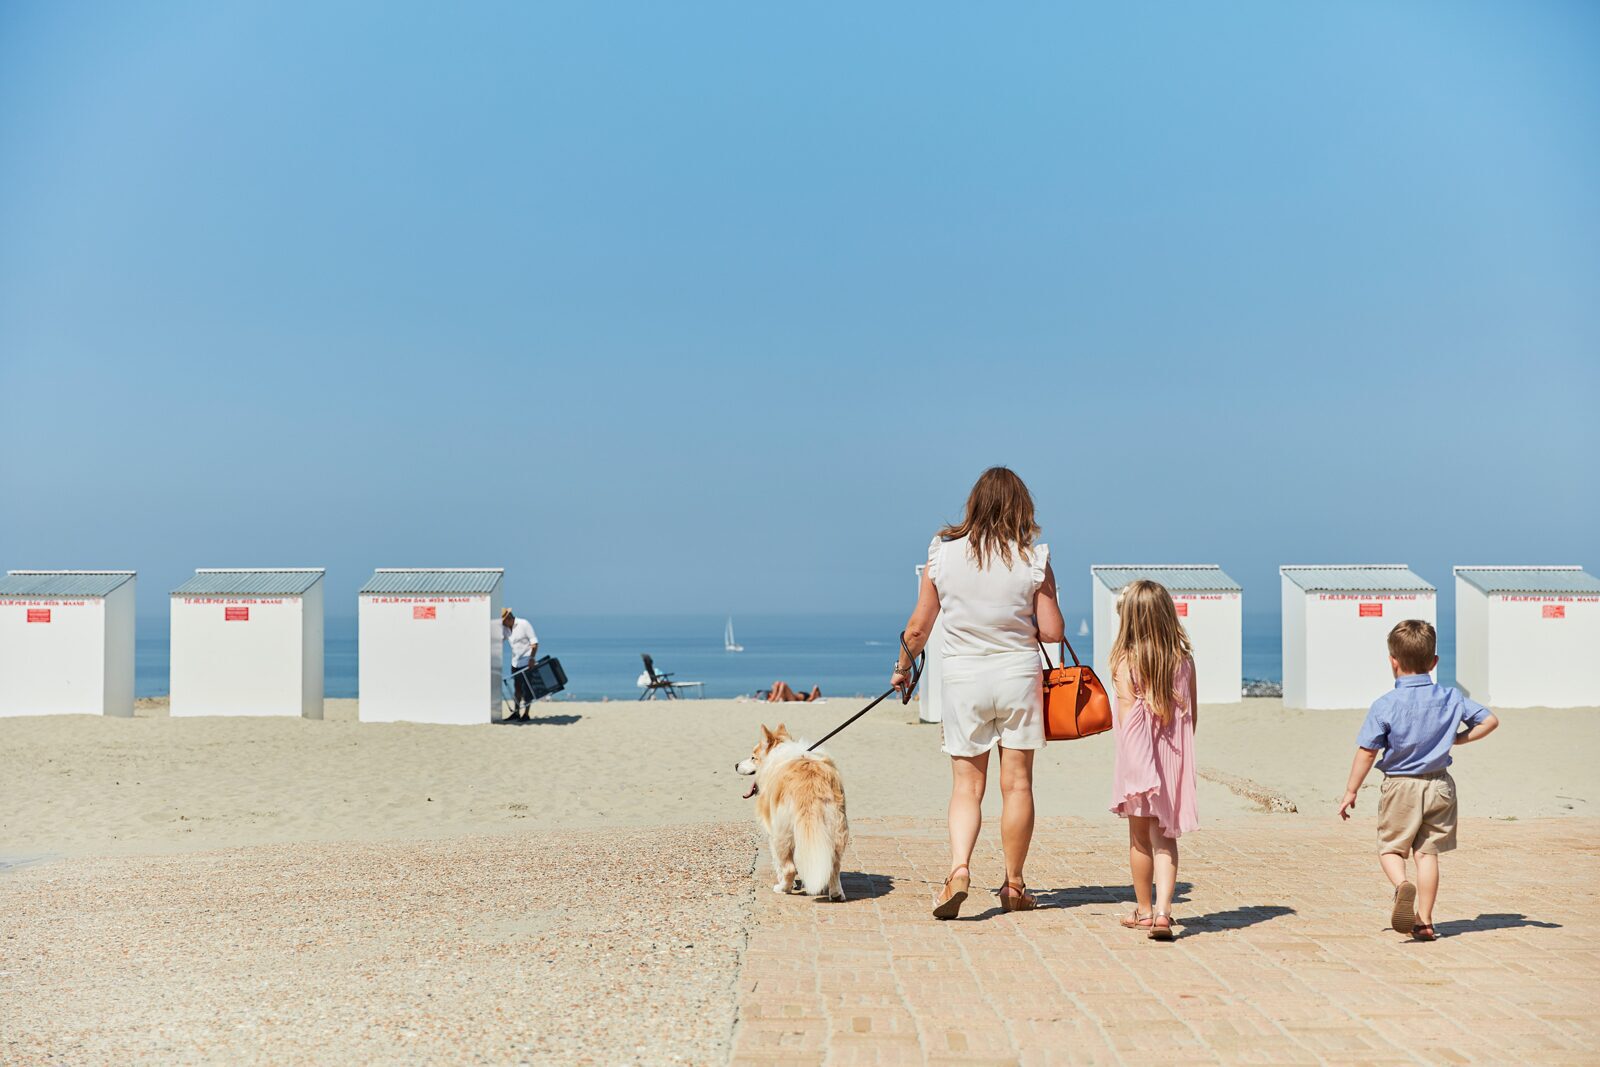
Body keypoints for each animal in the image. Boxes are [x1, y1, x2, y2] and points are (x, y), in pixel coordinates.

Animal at [736, 726, 851, 902]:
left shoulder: (772, 832)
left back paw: (783, 888)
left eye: (753, 757)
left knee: (789, 867)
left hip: (781, 833)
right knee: (834, 865)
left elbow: (779, 865)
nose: (735, 765)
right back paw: (837, 894)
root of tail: (811, 785)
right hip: (837, 828)